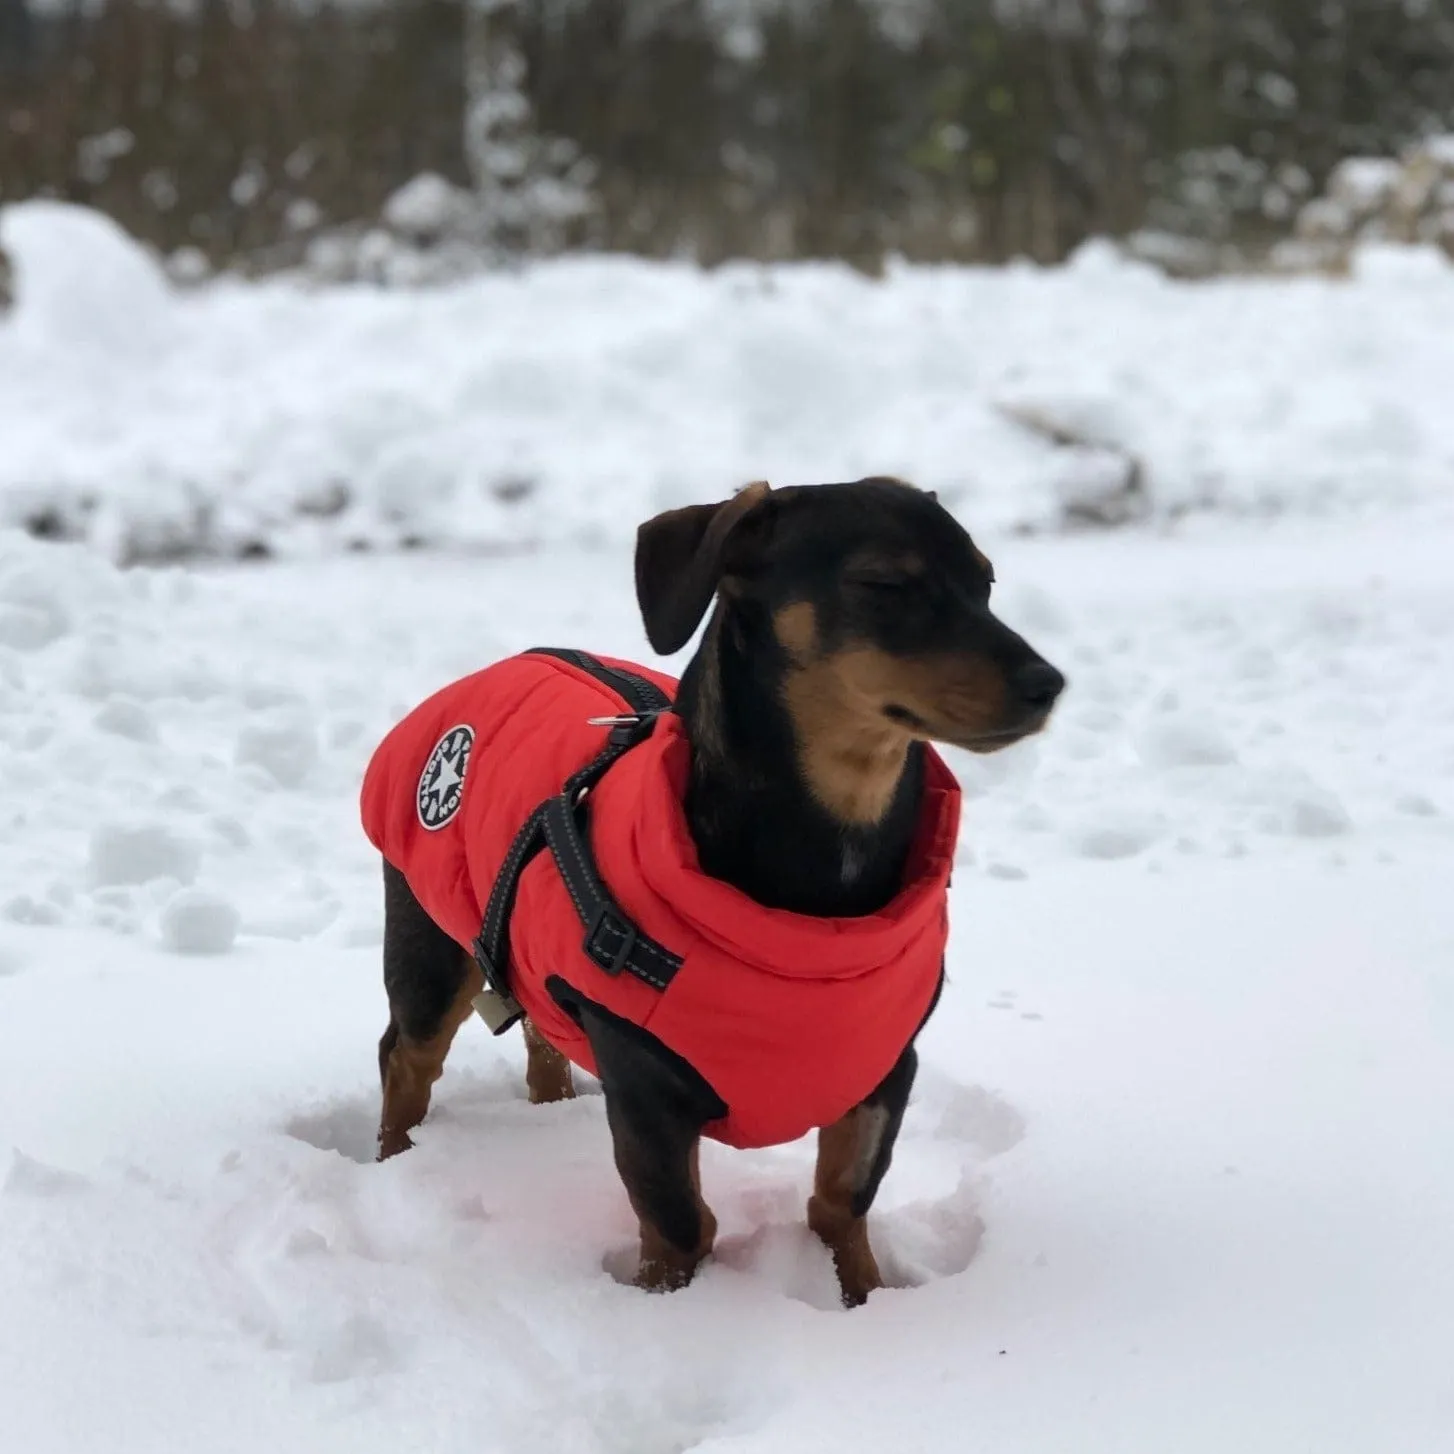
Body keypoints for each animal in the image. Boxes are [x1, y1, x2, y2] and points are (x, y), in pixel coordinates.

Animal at [363, 479, 1070, 1308]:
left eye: (986, 582)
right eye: (884, 584)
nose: (1047, 685)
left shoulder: (888, 1069)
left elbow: (842, 1202)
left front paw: (862, 1299)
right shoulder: (646, 1086)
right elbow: (679, 1223)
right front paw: (669, 1305)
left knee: (538, 1033)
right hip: (427, 939)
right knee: (406, 1058)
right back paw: (397, 1164)